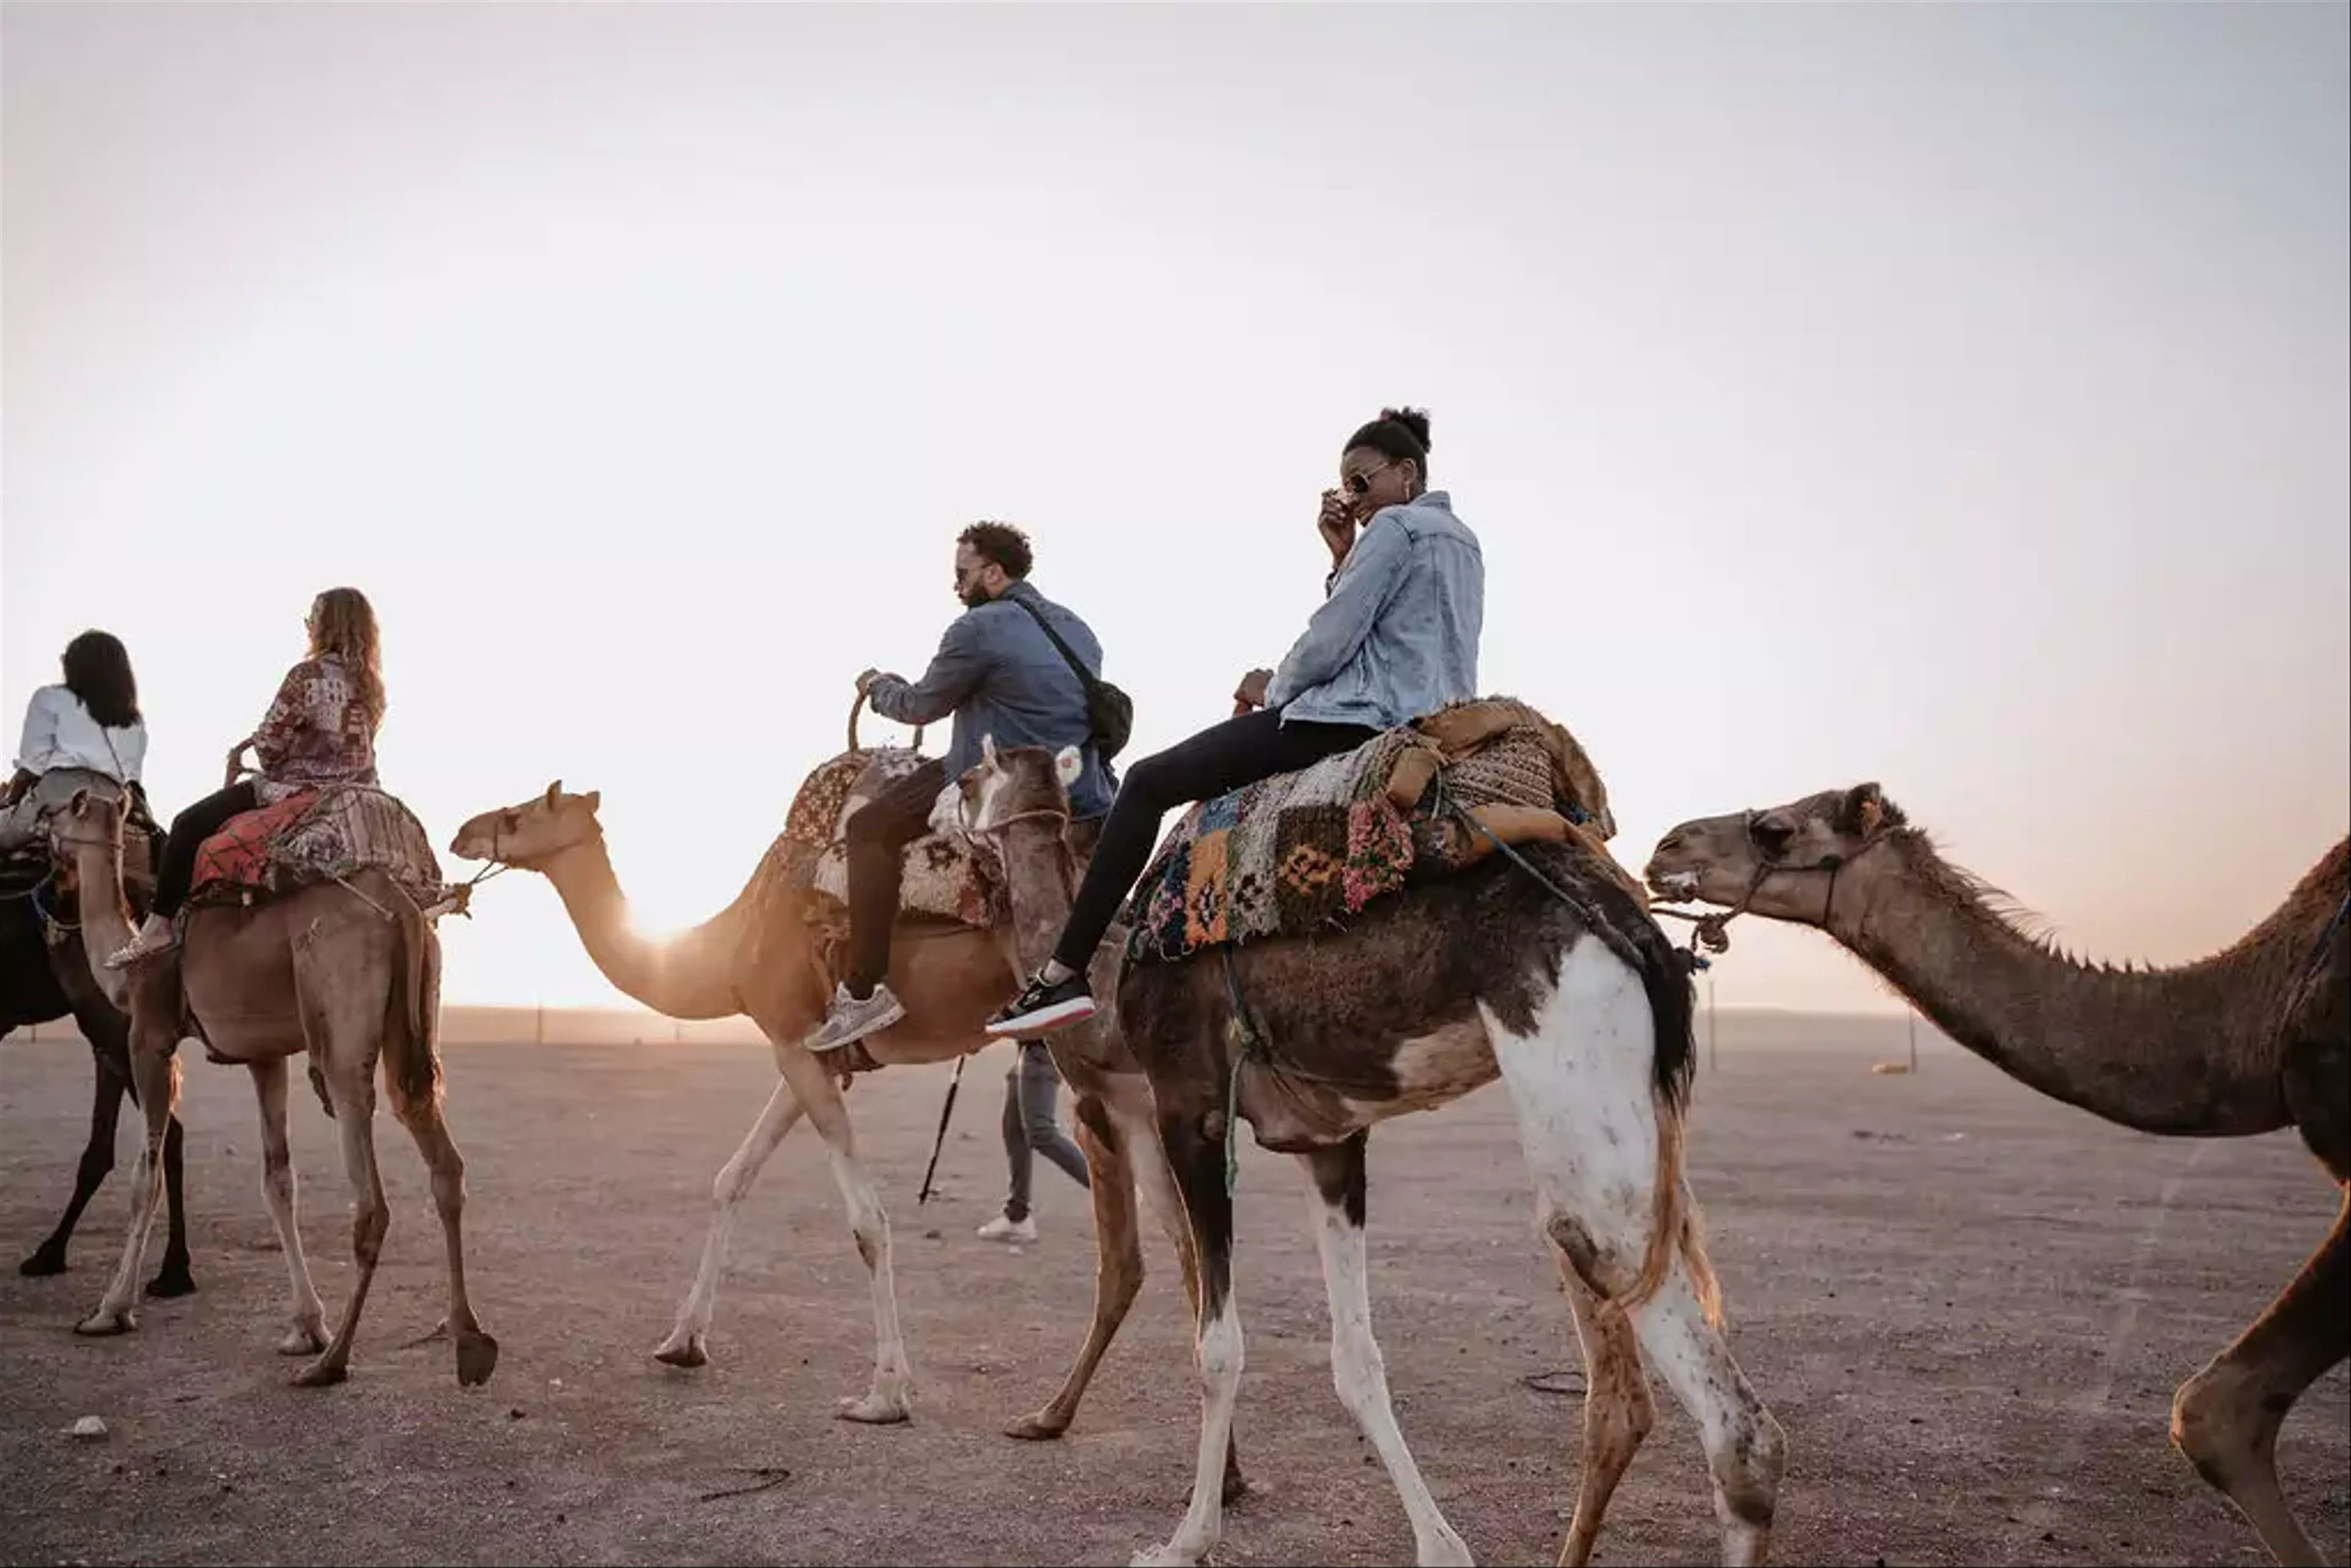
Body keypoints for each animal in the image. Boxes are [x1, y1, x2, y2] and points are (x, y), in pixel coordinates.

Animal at [49, 790, 496, 1392]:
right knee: (442, 1159)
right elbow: (278, 1180)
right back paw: (467, 1339)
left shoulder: (149, 1036)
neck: (124, 964)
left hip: (341, 1020)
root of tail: (401, 907)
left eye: (61, 810)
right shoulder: (265, 1056)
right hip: (418, 1019)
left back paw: (332, 1364)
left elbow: (146, 1177)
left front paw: (110, 1310)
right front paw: (305, 1325)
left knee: (370, 1198)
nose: (46, 840)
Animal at [441, 762, 1250, 1495]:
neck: (731, 942)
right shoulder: (807, 1050)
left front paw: (885, 1393)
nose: (461, 831)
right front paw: (681, 1340)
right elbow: (731, 1177)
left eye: (517, 814)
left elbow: (867, 1219)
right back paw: (1214, 1466)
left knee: (1146, 1239)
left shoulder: (796, 1044)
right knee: (1180, 1239)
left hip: (1097, 1052)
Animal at [954, 738, 1777, 1568]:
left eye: (974, 775)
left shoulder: (1190, 1109)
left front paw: (1188, 1537)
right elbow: (1356, 1357)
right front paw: (1441, 1544)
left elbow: (1217, 1344)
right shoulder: (1328, 1142)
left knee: (1730, 1423)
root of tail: (1633, 927)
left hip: (1576, 1081)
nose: (946, 799)